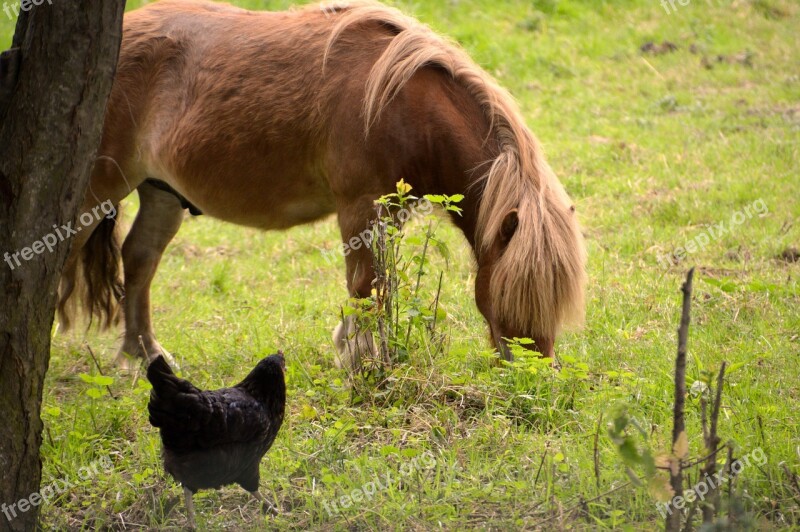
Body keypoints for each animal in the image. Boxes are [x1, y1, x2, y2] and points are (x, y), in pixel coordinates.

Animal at [54, 0, 580, 366]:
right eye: (517, 294)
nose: (535, 374)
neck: (399, 100)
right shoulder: (360, 207)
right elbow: (366, 285)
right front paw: (364, 361)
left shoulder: (390, 212)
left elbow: (382, 286)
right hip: (95, 193)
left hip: (162, 193)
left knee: (139, 260)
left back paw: (145, 355)